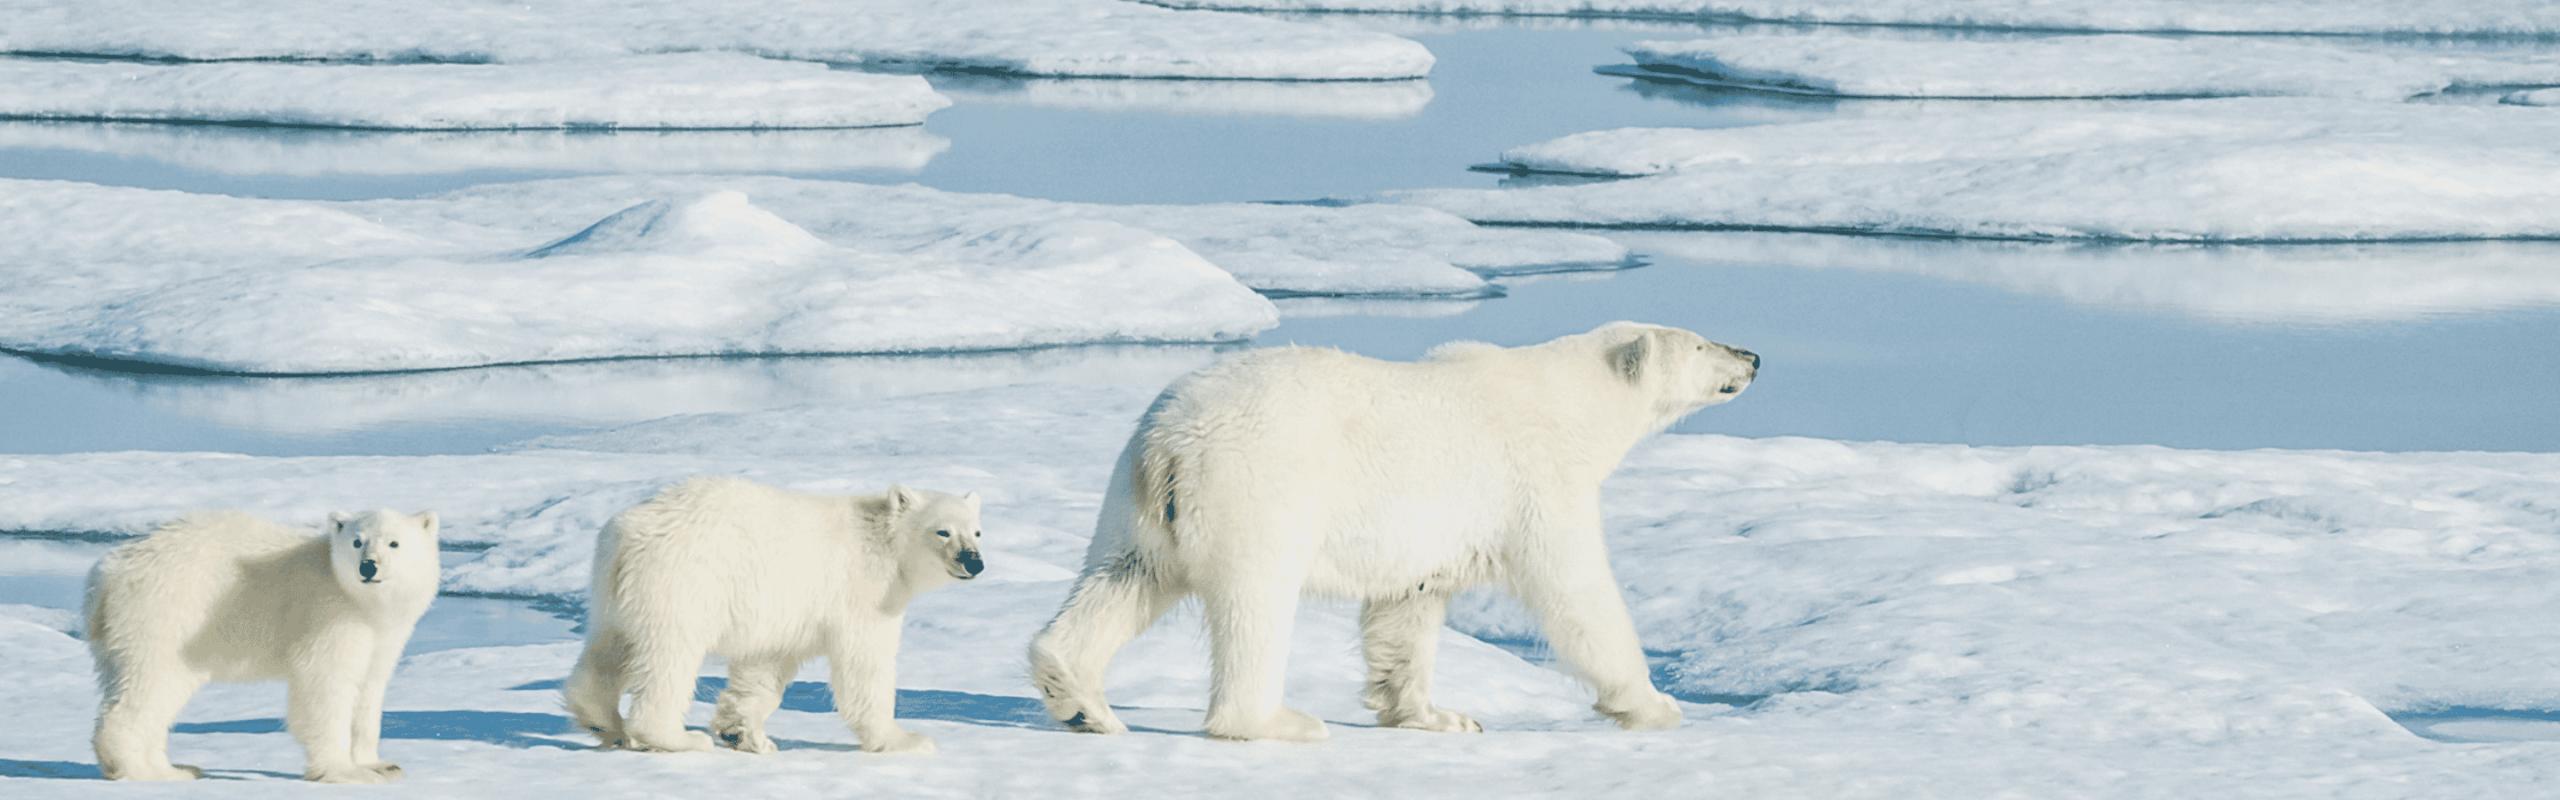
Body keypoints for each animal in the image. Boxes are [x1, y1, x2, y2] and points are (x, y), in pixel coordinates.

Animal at [86, 509, 442, 782]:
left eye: (394, 542)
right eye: (357, 541)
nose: (368, 566)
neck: (360, 600)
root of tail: (108, 575)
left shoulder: (383, 634)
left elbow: (369, 689)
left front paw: (381, 765)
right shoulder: (328, 615)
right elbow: (325, 686)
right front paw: (343, 771)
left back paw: (175, 767)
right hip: (167, 614)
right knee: (150, 685)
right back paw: (142, 770)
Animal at [562, 477, 985, 756]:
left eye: (977, 532)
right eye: (943, 531)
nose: (974, 562)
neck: (883, 542)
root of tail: (629, 532)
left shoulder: (784, 616)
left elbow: (763, 668)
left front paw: (745, 734)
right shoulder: (863, 594)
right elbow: (865, 666)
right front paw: (907, 740)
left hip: (616, 591)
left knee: (607, 649)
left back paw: (604, 721)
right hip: (685, 583)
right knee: (669, 658)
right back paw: (676, 737)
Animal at [1028, 321, 1758, 742]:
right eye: (1701, 343)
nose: (1752, 356)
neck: (1570, 402)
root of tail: (1171, 443)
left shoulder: (1428, 535)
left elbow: (1406, 610)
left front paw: (1439, 716)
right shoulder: (1535, 481)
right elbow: (1576, 591)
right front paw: (1654, 704)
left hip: (1136, 504)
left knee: (1122, 580)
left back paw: (1082, 703)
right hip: (1258, 487)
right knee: (1254, 603)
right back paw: (1277, 722)